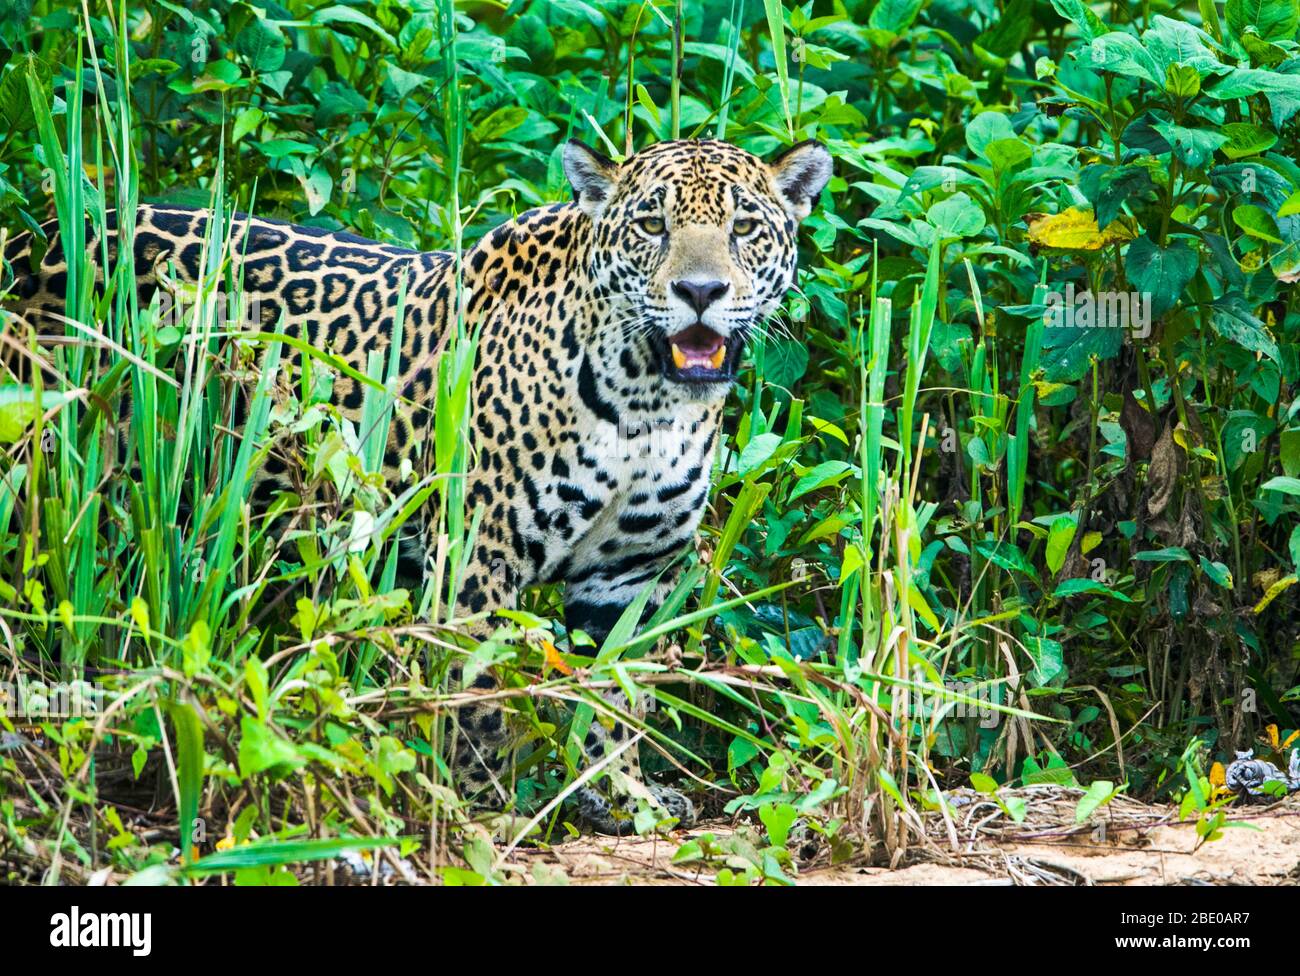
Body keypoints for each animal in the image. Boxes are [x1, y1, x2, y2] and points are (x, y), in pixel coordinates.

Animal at [1, 137, 833, 834]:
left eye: (745, 227)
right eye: (652, 225)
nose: (700, 291)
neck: (648, 405)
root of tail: (32, 235)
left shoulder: (630, 576)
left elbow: (614, 701)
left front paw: (620, 795)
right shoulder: (477, 555)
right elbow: (478, 693)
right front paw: (480, 804)